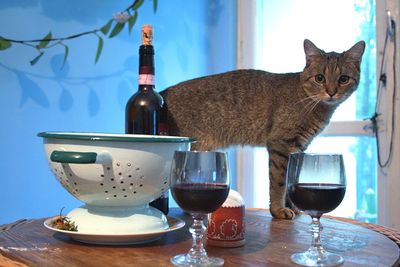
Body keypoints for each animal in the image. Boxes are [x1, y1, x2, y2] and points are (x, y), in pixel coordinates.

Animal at [160, 39, 366, 220]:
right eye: (320, 78)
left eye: (343, 79)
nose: (331, 92)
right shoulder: (281, 144)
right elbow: (279, 182)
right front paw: (278, 210)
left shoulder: (299, 147)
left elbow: (292, 179)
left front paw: (293, 206)